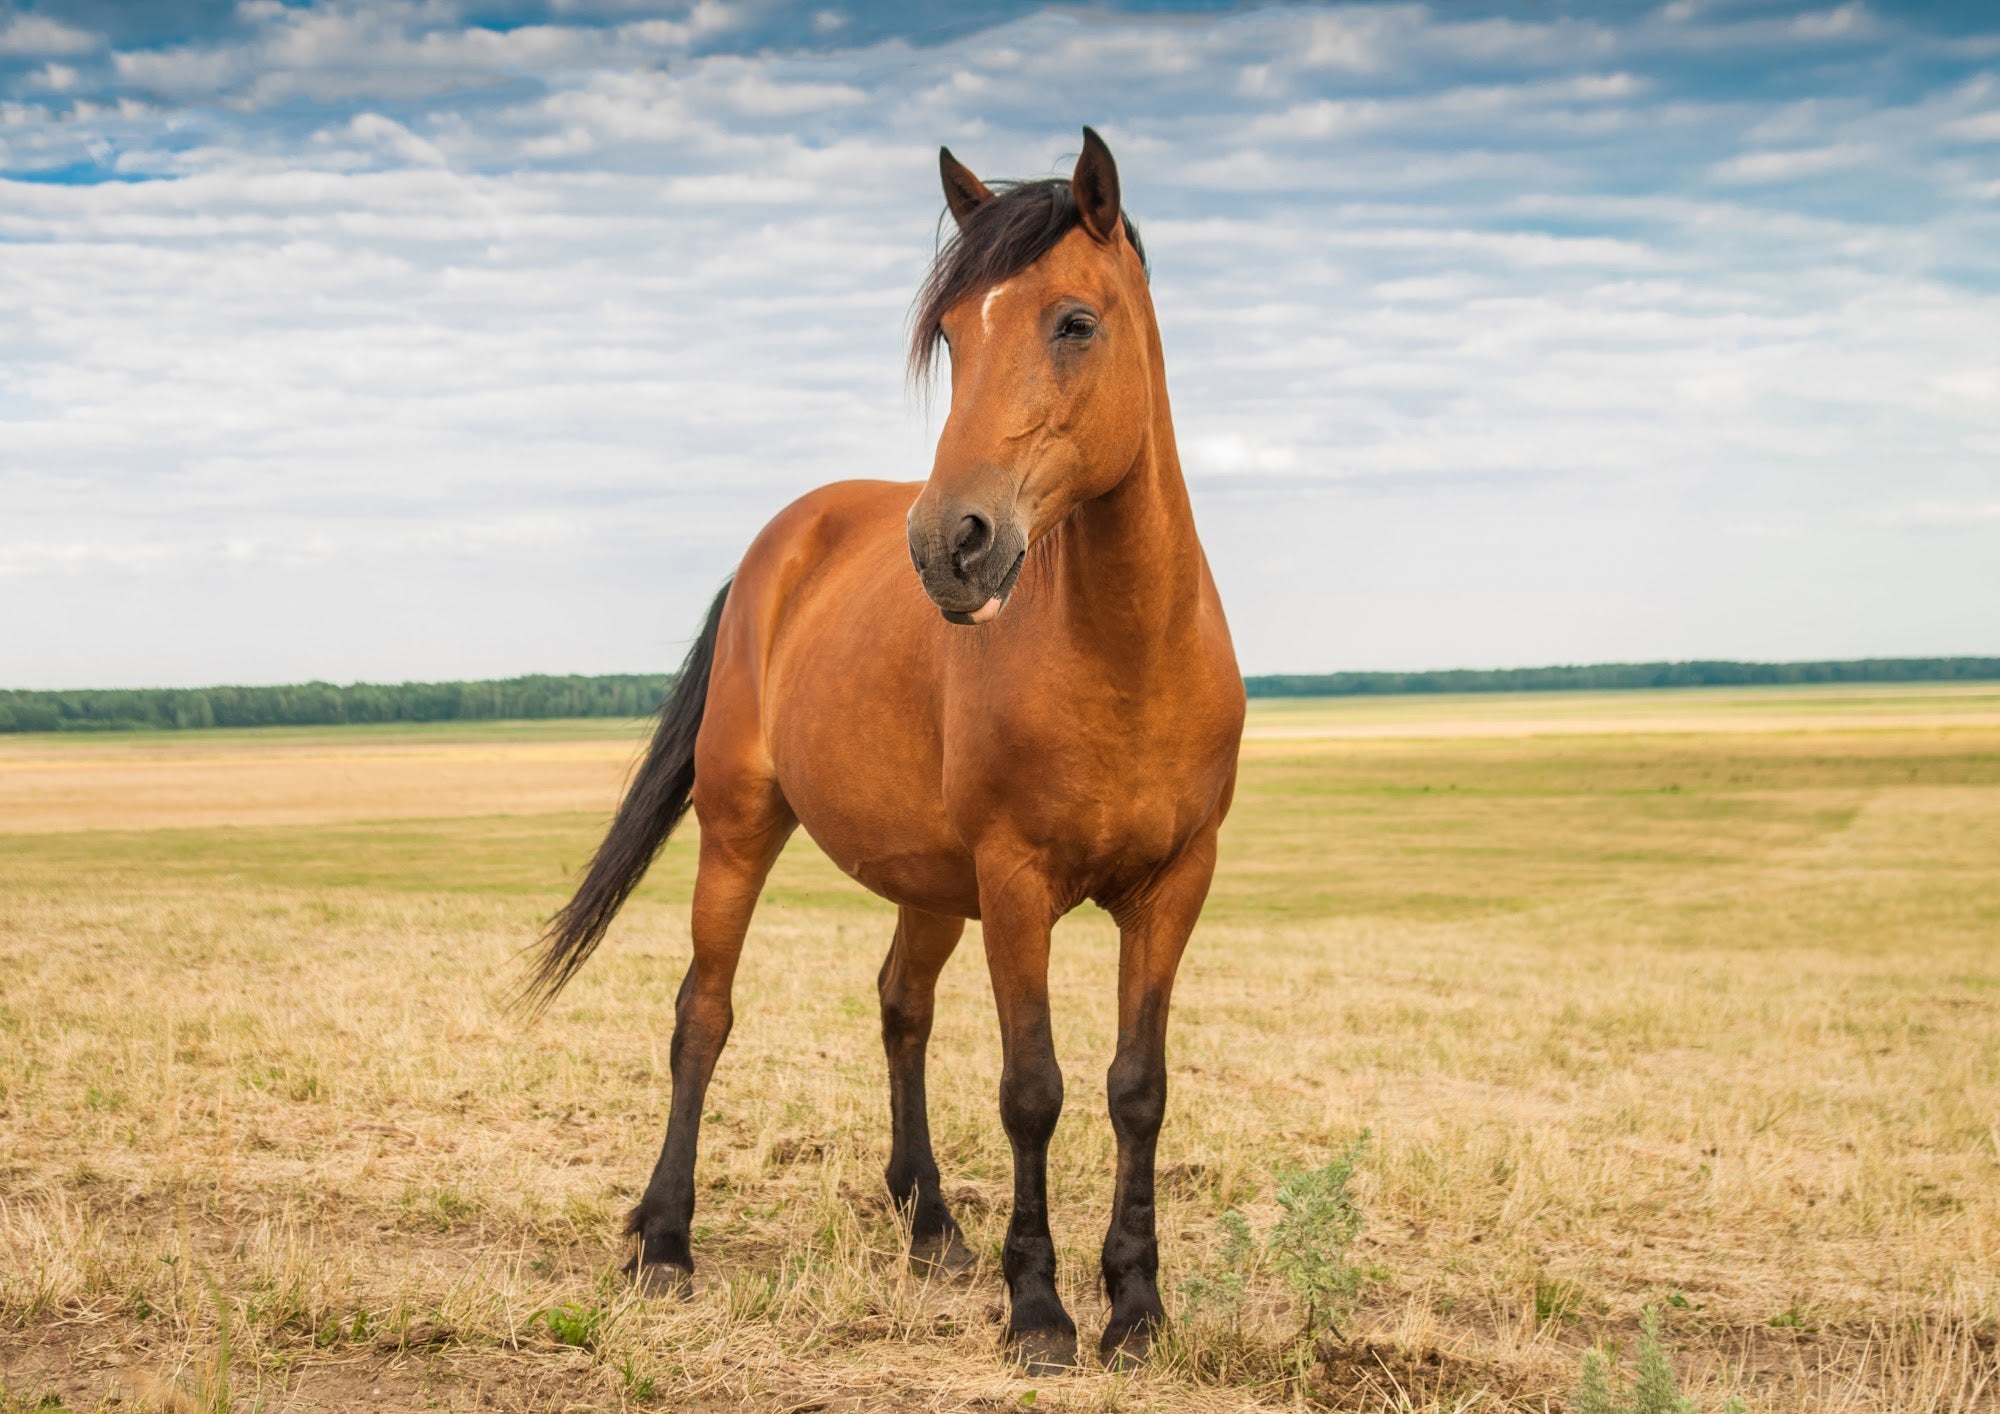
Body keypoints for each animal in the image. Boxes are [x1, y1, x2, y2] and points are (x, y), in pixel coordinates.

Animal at [523, 127, 1245, 1372]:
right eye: (949, 336)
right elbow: (1032, 1087)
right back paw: (664, 1240)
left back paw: (931, 1225)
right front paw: (1039, 1310)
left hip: (930, 880)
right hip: (742, 829)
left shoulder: (1171, 885)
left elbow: (1136, 1088)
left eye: (1073, 322)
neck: (1127, 648)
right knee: (702, 1014)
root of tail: (781, 541)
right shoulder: (1015, 883)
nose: (948, 543)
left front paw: (1137, 1307)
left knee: (900, 1005)